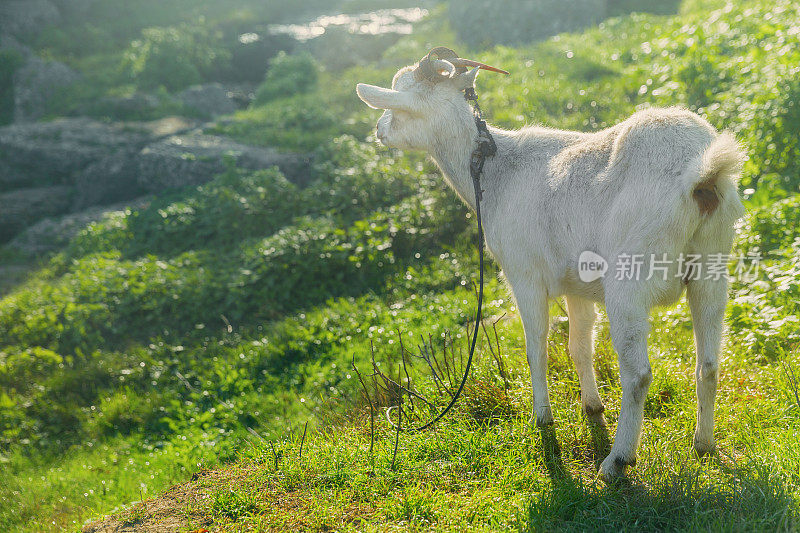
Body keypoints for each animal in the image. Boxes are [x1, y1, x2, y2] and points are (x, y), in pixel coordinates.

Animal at [356, 52, 744, 480]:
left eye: (397, 101)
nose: (378, 130)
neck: (494, 172)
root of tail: (702, 175)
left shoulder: (523, 276)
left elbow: (536, 347)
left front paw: (542, 419)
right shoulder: (578, 284)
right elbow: (579, 347)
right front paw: (592, 408)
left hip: (629, 279)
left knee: (638, 374)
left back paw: (617, 461)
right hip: (711, 269)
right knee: (708, 364)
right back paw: (703, 445)